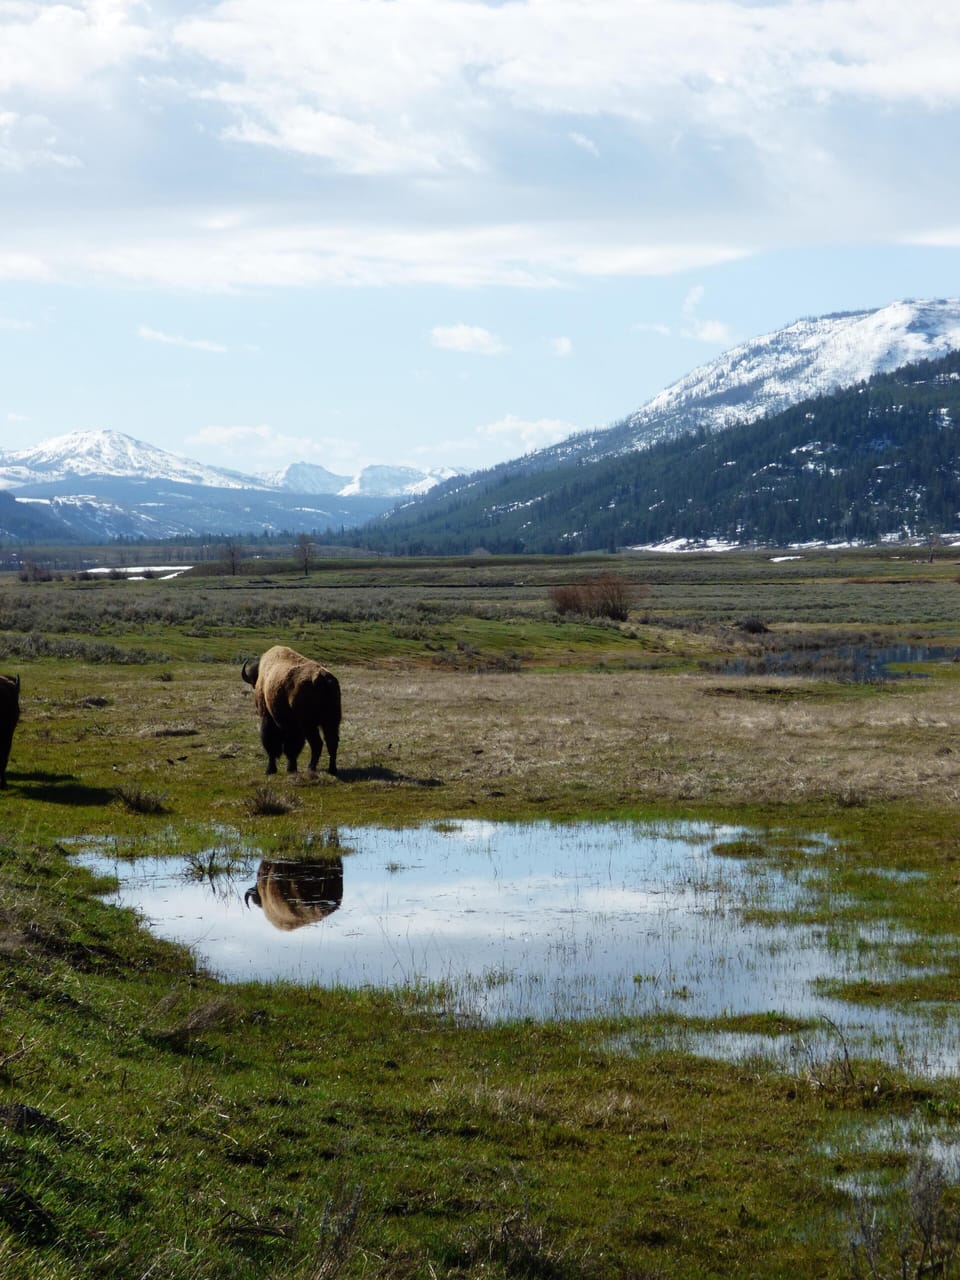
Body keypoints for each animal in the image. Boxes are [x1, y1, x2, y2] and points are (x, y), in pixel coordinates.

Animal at [241, 644, 341, 776]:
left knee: (314, 743)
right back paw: (330, 769)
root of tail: (322, 679)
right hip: (331, 722)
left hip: (308, 725)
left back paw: (305, 768)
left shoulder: (269, 718)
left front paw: (271, 769)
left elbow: (273, 744)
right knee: (331, 742)